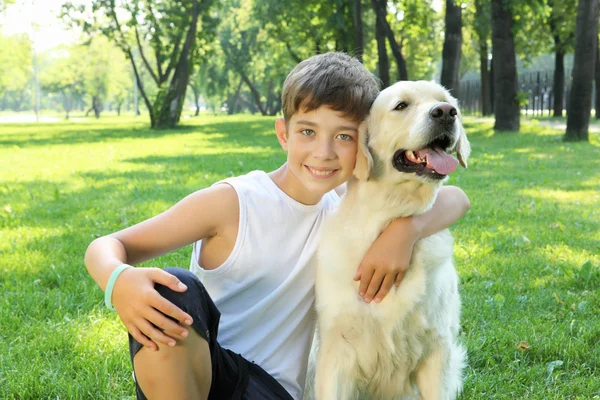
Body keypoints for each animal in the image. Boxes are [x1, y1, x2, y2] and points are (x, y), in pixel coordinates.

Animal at [312, 81, 472, 400]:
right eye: (401, 105)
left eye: (445, 100)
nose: (446, 112)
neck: (387, 219)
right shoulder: (335, 352)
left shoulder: (437, 350)